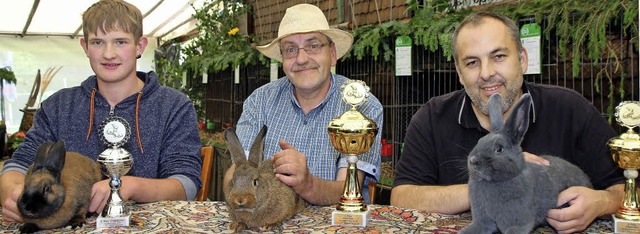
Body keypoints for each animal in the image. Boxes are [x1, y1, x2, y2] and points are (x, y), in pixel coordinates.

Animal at [460, 93, 592, 234]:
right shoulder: (483, 222)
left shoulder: (519, 224)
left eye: (499, 149)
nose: (473, 161)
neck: (495, 182)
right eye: (479, 141)